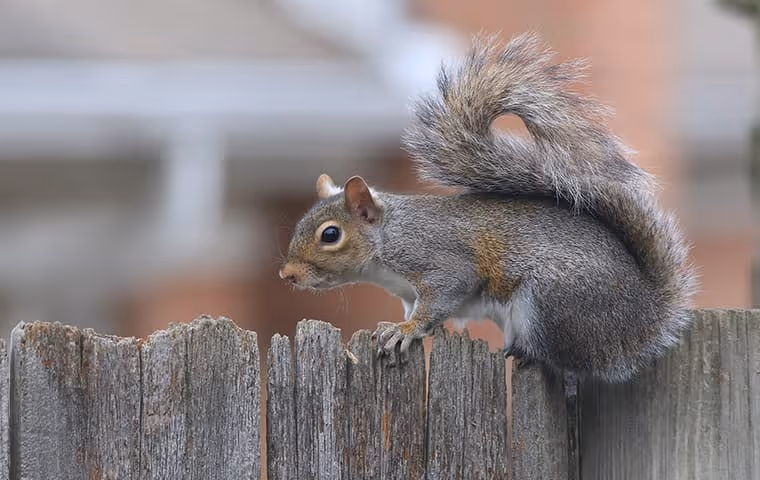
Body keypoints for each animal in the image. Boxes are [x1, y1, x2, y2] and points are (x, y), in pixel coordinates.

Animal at [279, 32, 697, 382]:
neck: (387, 240)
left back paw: (530, 353)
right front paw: (400, 328)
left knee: (566, 359)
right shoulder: (408, 293)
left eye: (330, 235)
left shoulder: (438, 259)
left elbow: (445, 293)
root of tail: (643, 322)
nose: (288, 275)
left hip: (551, 301)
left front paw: (406, 331)